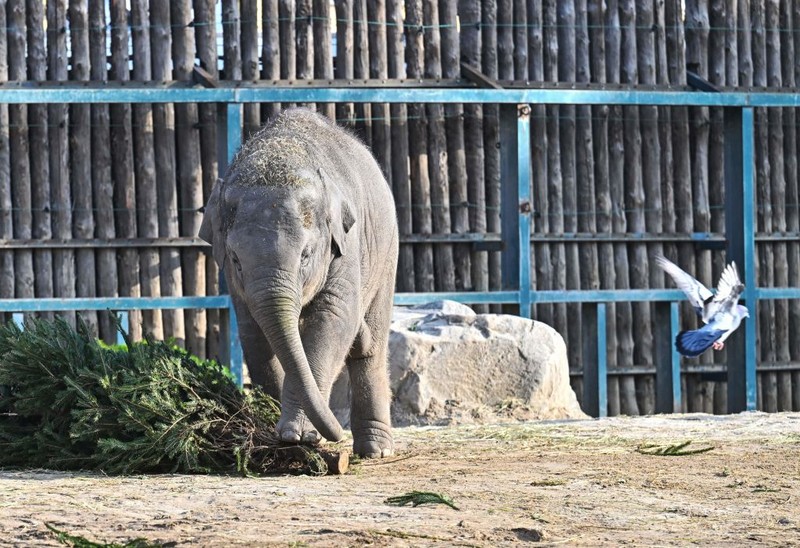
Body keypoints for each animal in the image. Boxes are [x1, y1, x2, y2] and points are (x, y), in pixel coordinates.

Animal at [199, 108, 398, 458]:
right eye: (236, 259)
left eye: (306, 254)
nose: (336, 434)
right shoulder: (235, 282)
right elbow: (254, 335)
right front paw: (281, 431)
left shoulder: (344, 244)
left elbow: (333, 319)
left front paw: (299, 436)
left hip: (387, 251)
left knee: (371, 345)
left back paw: (376, 451)